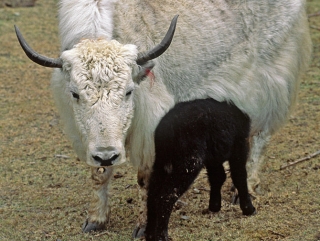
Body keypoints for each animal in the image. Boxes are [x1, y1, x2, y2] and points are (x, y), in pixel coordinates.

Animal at [146, 98, 256, 241]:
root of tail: (165, 131)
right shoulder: (240, 144)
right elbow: (239, 176)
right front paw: (249, 209)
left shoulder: (213, 156)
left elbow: (217, 177)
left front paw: (214, 206)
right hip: (189, 161)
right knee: (167, 195)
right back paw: (161, 235)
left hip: (162, 161)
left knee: (153, 191)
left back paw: (149, 233)